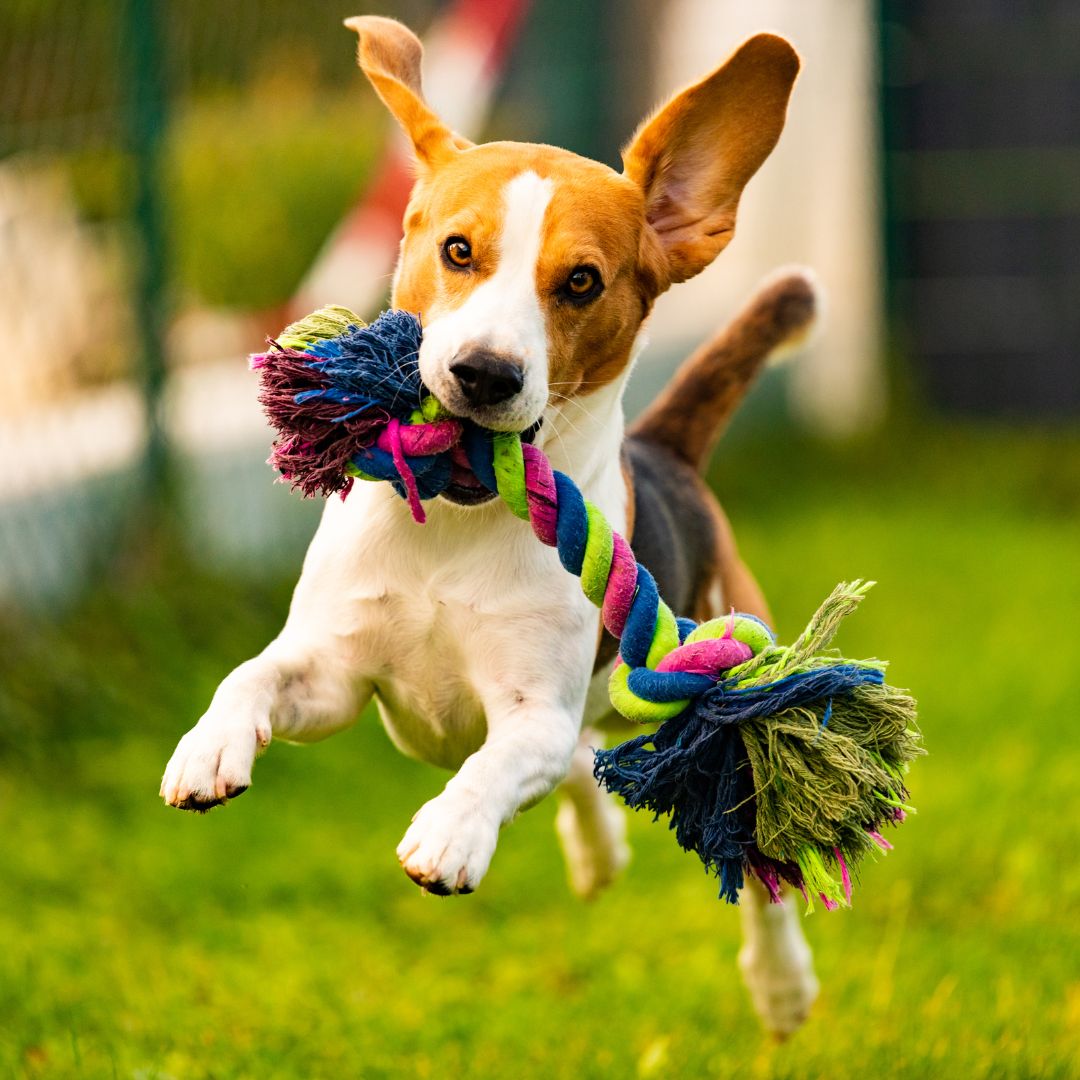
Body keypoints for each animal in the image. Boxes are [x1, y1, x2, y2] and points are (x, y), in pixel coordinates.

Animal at [159, 10, 816, 1036]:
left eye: (581, 281)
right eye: (458, 251)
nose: (484, 375)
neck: (452, 528)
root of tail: (668, 450)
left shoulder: (531, 712)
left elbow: (497, 763)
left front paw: (452, 832)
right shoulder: (336, 679)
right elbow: (254, 675)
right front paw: (208, 746)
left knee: (753, 869)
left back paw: (782, 984)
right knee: (588, 765)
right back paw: (598, 849)